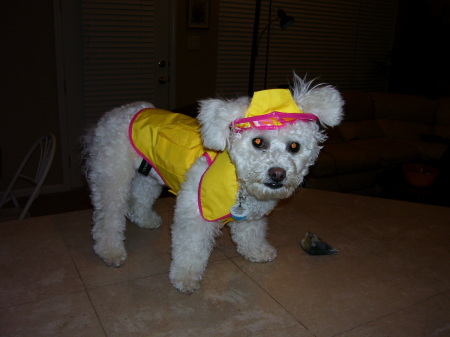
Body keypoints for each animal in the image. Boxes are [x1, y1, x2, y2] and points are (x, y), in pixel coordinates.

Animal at [84, 75, 342, 292]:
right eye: (258, 142)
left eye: (294, 146)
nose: (277, 173)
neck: (237, 177)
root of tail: (115, 114)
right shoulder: (194, 214)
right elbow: (190, 248)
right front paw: (185, 277)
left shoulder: (251, 217)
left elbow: (250, 235)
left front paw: (257, 251)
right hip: (112, 178)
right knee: (108, 218)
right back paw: (110, 251)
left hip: (150, 174)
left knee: (140, 196)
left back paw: (145, 219)